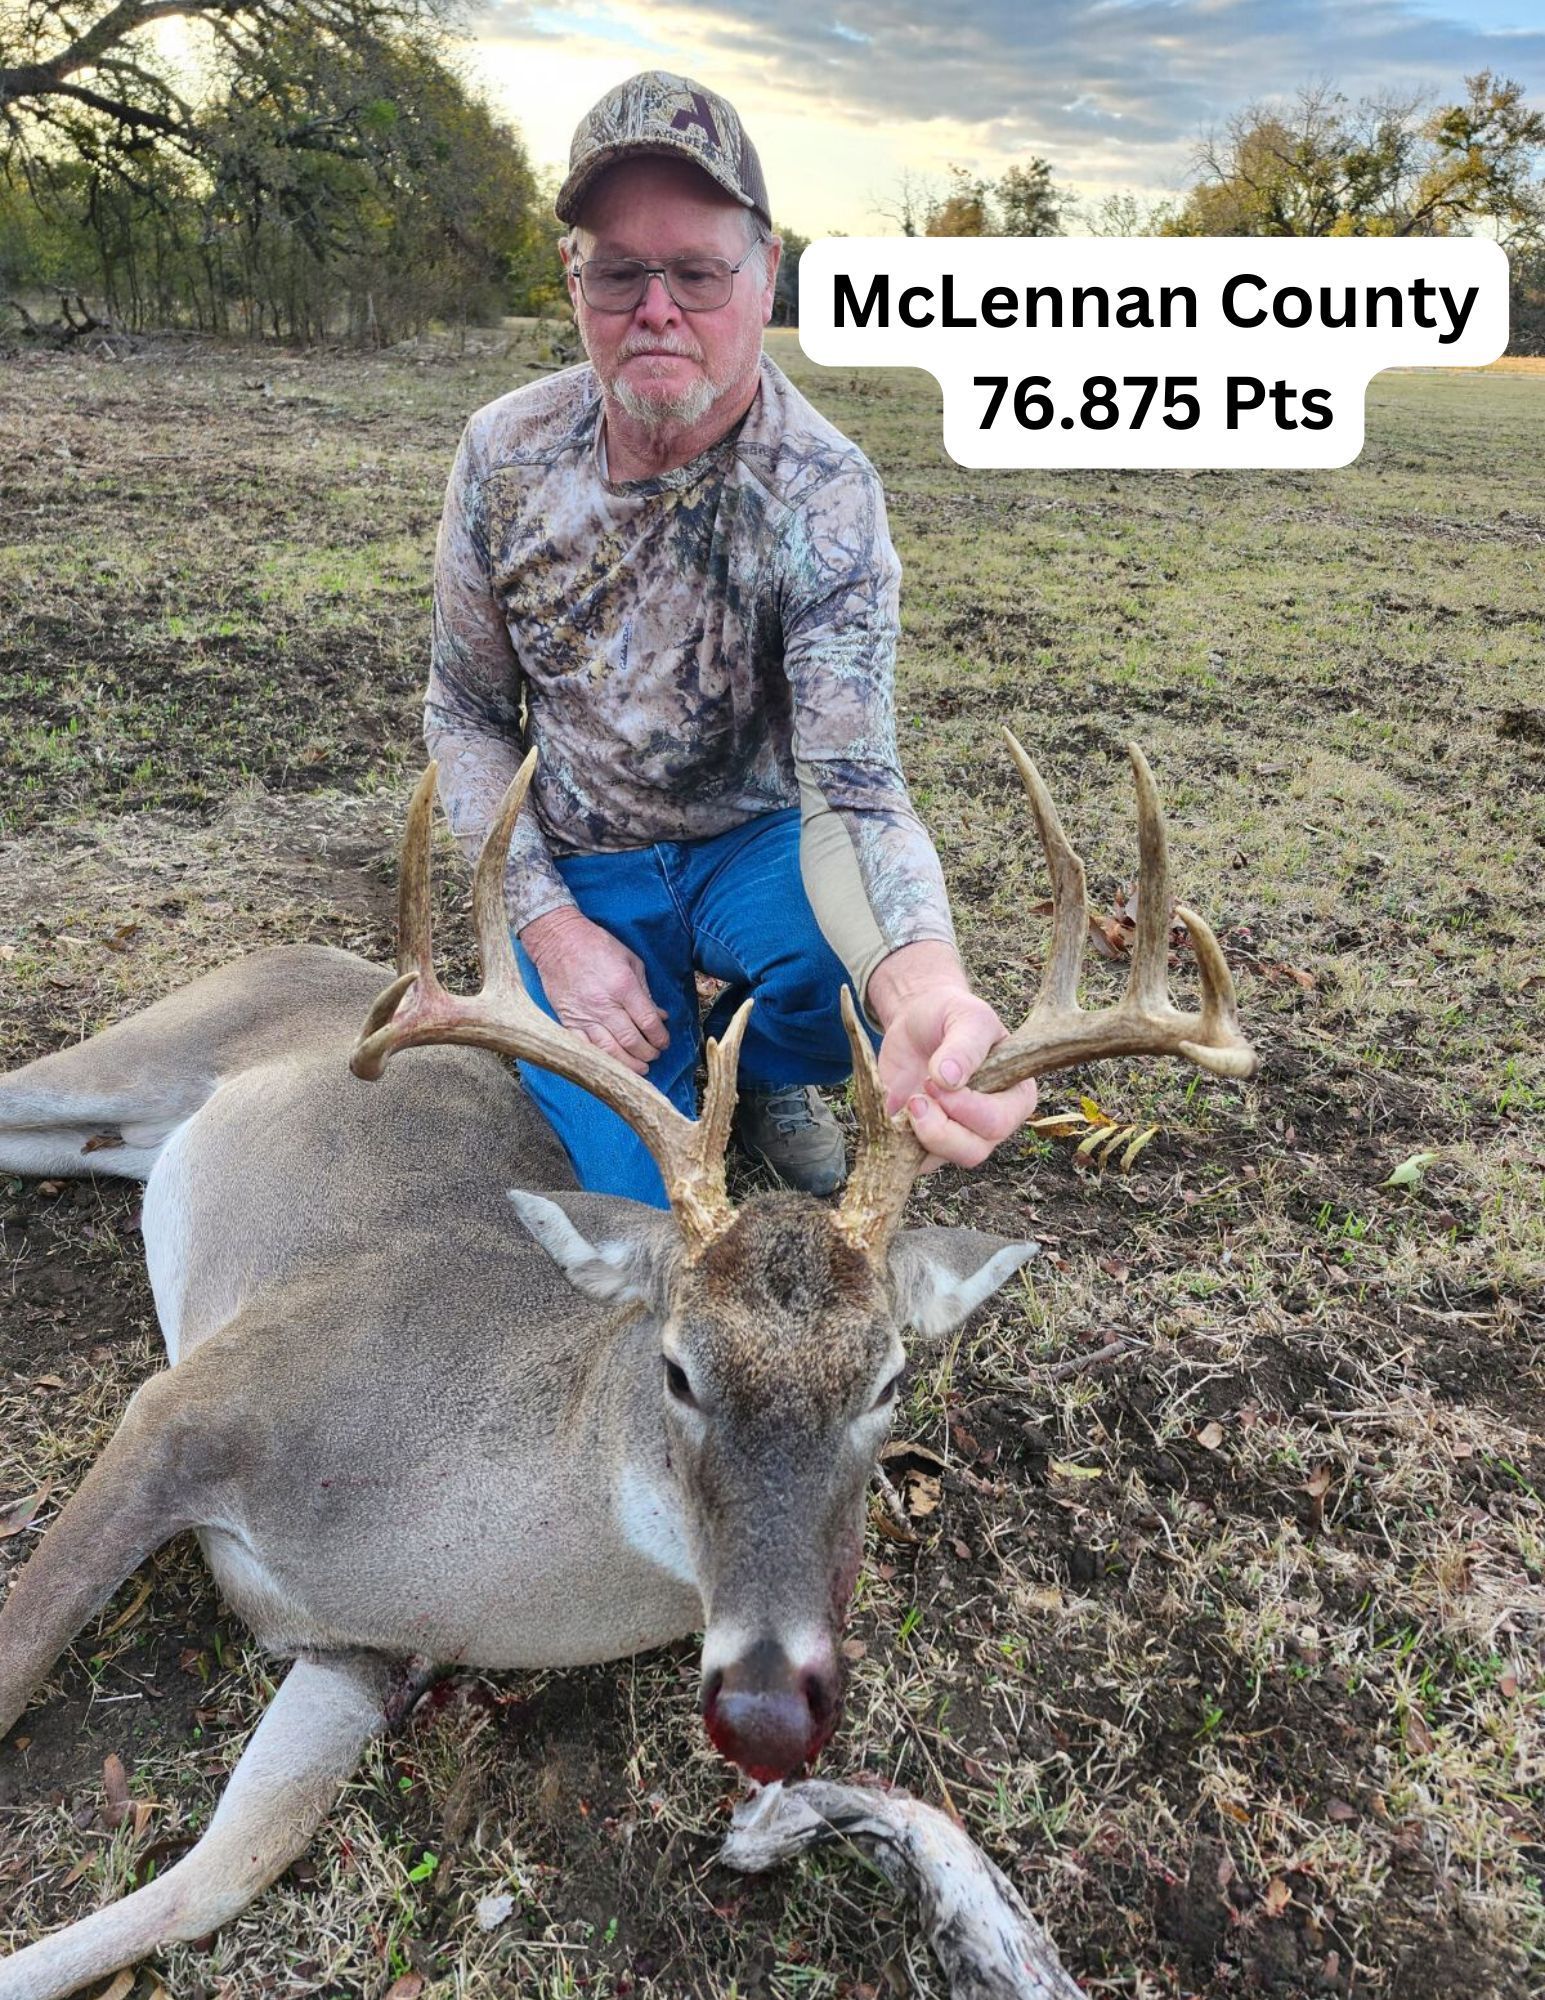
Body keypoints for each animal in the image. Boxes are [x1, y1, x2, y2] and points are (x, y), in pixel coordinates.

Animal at [0, 735, 1256, 2000]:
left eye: (889, 1381)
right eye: (677, 1369)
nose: (767, 1710)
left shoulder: (356, 1647)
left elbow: (224, 1869)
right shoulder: (189, 1402)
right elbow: (17, 1660)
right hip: (160, 1040)